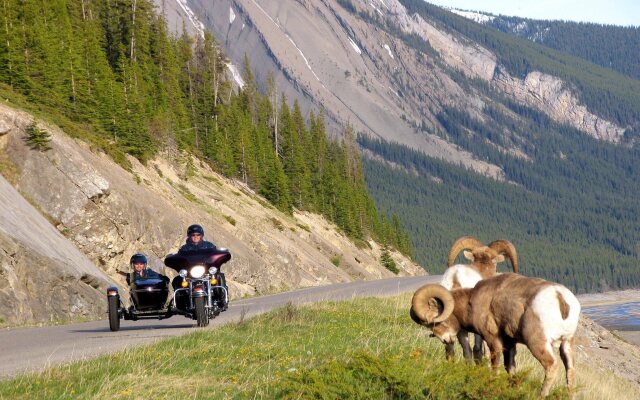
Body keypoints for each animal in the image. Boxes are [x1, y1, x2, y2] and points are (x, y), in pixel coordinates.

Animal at [410, 274, 580, 398]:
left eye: (433, 322)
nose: (446, 340)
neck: (471, 302)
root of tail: (560, 297)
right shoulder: (510, 344)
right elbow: (510, 369)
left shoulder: (493, 340)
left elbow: (495, 367)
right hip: (567, 343)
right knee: (570, 370)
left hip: (537, 344)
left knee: (552, 366)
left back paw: (541, 396)